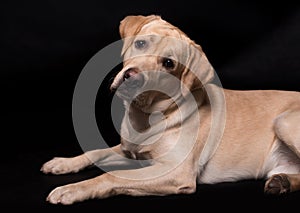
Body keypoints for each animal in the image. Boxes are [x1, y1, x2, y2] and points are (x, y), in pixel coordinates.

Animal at [40, 15, 300, 205]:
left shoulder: (174, 172)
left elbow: (112, 175)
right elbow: (96, 152)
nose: (132, 77)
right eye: (140, 43)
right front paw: (64, 163)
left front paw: (73, 189)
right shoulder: (129, 150)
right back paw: (283, 182)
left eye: (168, 64)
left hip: (283, 121)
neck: (144, 116)